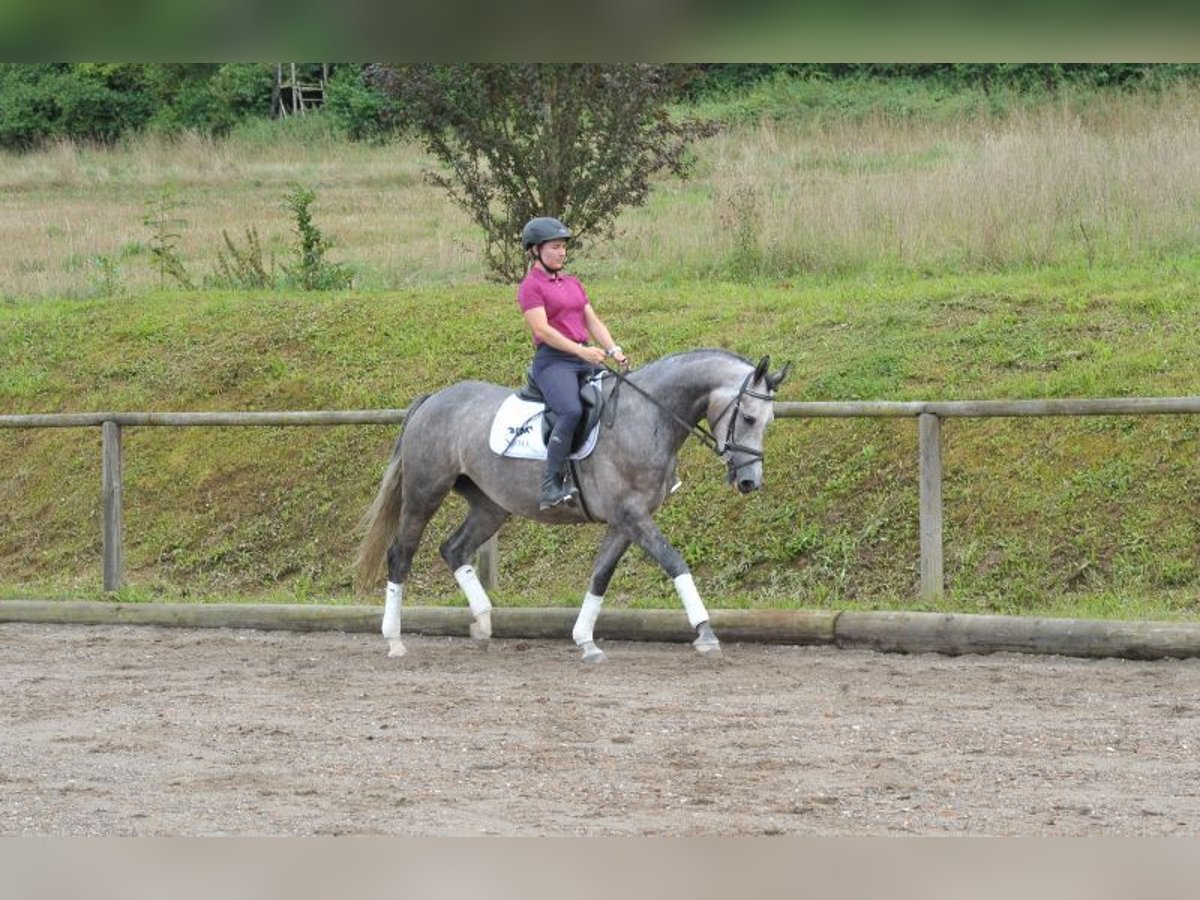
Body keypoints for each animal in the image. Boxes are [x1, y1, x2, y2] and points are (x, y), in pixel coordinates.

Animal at [355, 348, 787, 667]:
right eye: (749, 418)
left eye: (769, 421)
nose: (750, 482)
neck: (646, 416)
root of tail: (433, 400)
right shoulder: (633, 516)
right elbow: (675, 563)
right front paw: (706, 633)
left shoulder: (624, 521)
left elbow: (600, 576)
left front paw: (586, 641)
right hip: (424, 493)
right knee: (401, 554)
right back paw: (394, 640)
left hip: (491, 506)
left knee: (454, 548)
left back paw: (483, 622)